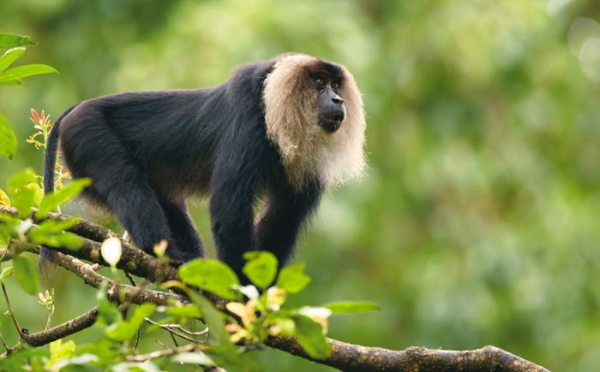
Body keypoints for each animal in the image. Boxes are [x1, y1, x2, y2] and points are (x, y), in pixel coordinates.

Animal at [42, 53, 366, 278]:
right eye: (319, 83)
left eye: (336, 85)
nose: (338, 100)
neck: (274, 112)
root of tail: (77, 109)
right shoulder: (248, 124)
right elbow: (229, 212)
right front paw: (242, 293)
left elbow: (282, 218)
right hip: (88, 133)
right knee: (125, 182)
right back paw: (165, 253)